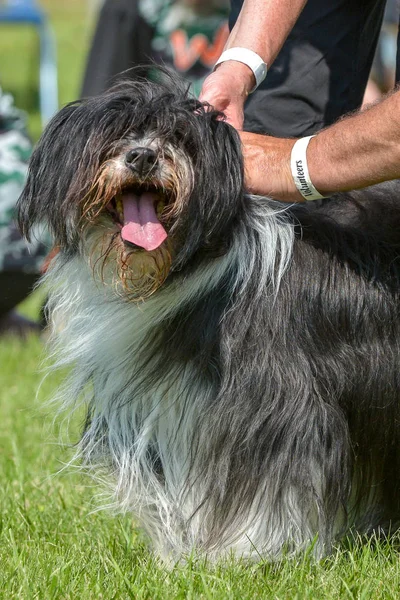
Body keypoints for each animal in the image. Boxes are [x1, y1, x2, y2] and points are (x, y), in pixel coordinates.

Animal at [18, 71, 400, 564]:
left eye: (180, 137)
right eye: (115, 132)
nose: (143, 156)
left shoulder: (276, 399)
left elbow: (267, 477)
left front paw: (246, 552)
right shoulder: (167, 402)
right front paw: (180, 557)